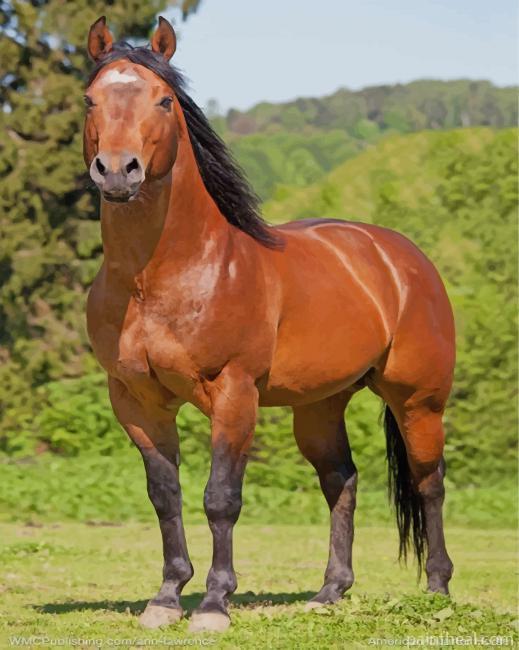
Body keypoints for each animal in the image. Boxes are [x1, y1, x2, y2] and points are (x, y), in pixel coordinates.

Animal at [83, 16, 455, 632]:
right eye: (89, 99)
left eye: (163, 100)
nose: (117, 171)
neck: (160, 276)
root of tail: (402, 257)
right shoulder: (136, 401)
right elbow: (165, 495)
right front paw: (166, 598)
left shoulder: (234, 394)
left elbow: (221, 498)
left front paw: (214, 604)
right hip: (320, 406)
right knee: (341, 481)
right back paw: (330, 592)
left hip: (419, 401)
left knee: (429, 483)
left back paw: (438, 590)